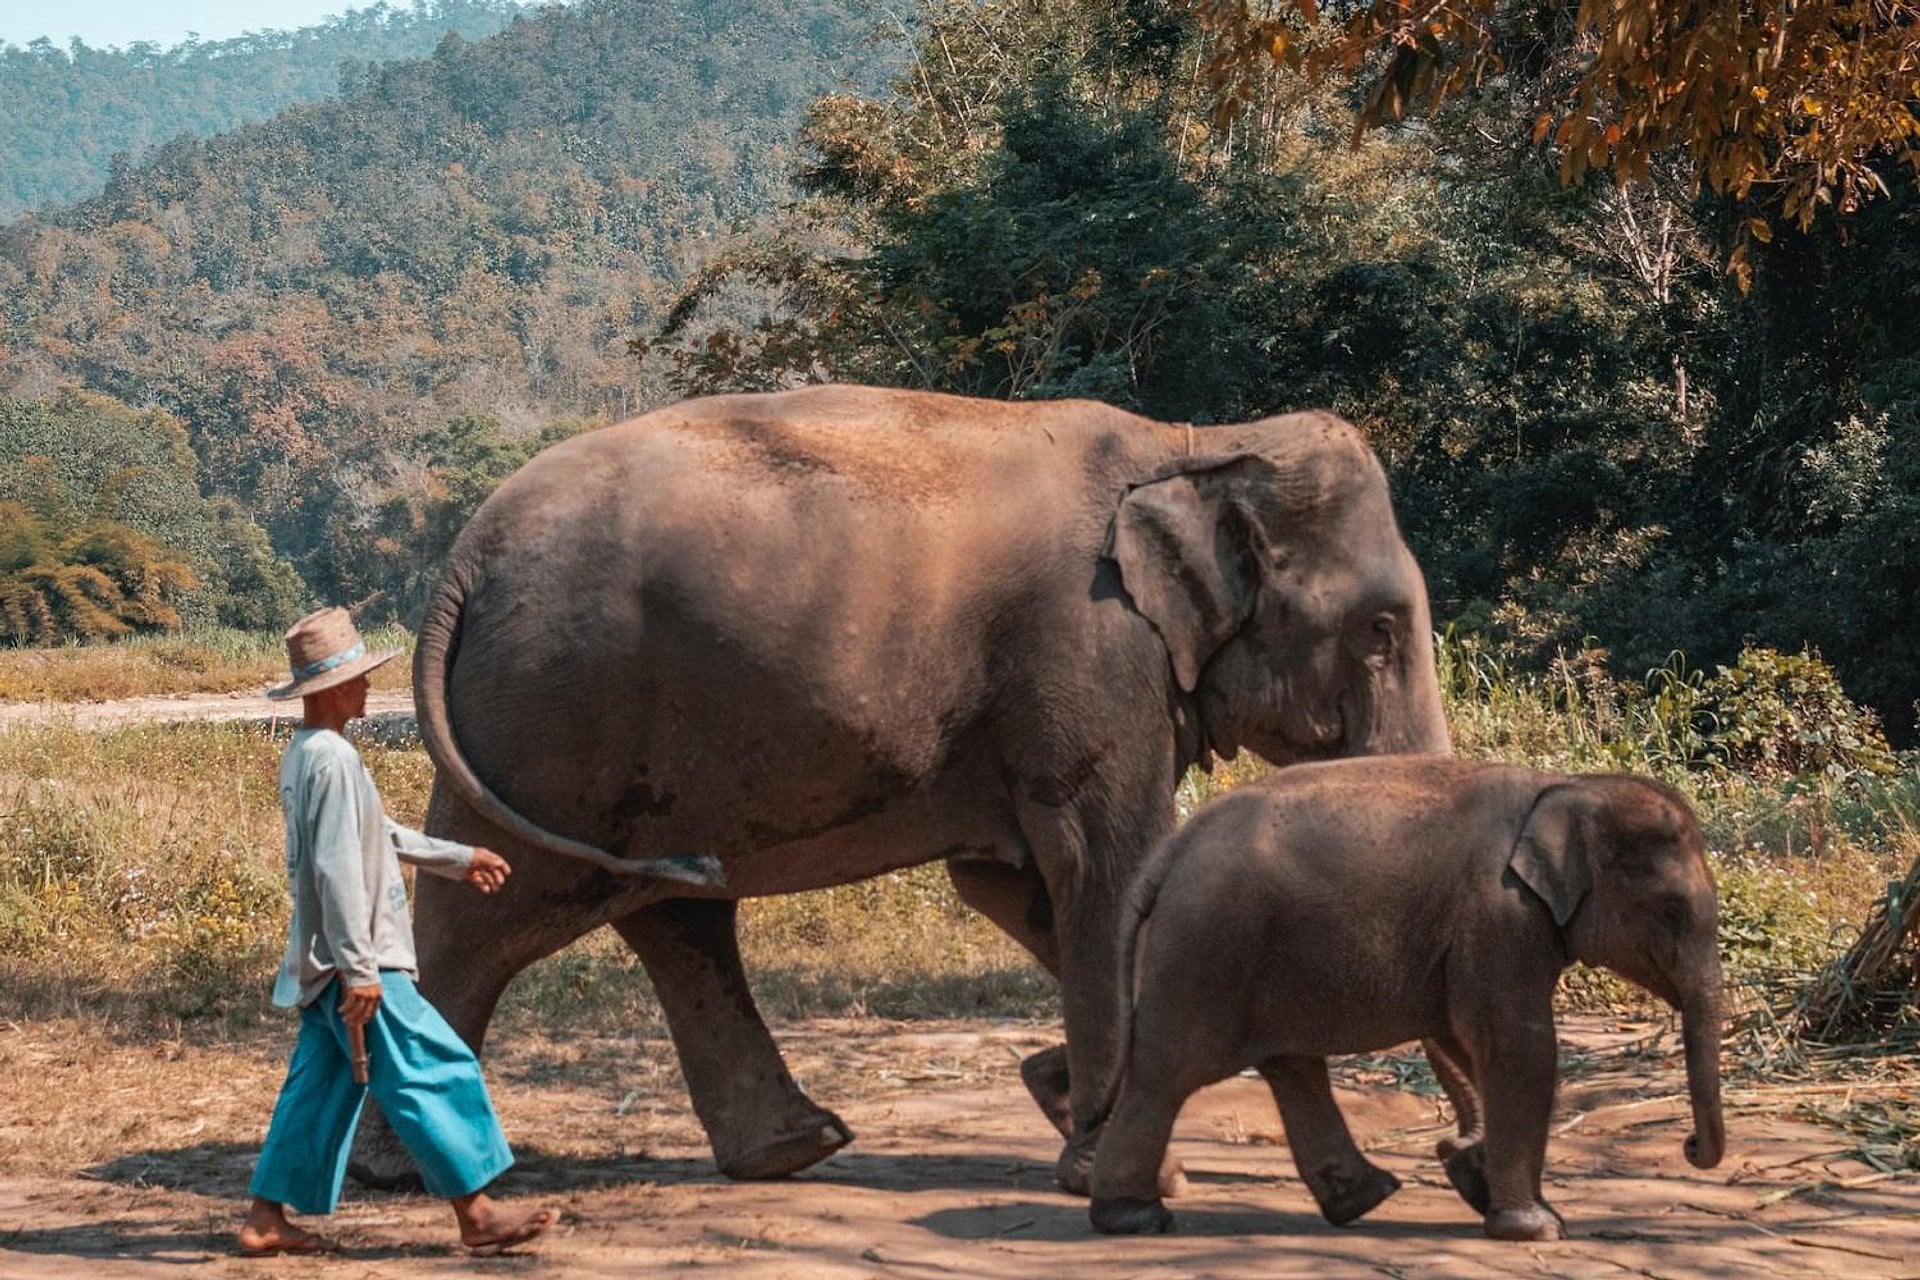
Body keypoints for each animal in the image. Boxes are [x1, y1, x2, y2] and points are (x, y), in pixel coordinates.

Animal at [351, 384, 1452, 1189]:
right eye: (1381, 630)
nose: (1454, 1163)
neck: (1201, 441)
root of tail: (462, 560)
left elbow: (1017, 884)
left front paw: (1064, 1100)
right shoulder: (1091, 654)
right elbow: (1105, 867)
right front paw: (1115, 1159)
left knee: (670, 911)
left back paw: (794, 1149)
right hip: (557, 717)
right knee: (492, 912)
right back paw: (406, 1175)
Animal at [1088, 757, 1726, 1241]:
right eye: (1672, 911)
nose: (1690, 1143)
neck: (1565, 786)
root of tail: (1170, 851)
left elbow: (1466, 1039)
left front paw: (1476, 1177)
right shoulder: (1500, 916)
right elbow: (1519, 1046)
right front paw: (1538, 1228)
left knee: (1291, 1066)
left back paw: (1363, 1199)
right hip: (1207, 947)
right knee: (1168, 1072)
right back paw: (1133, 1217)